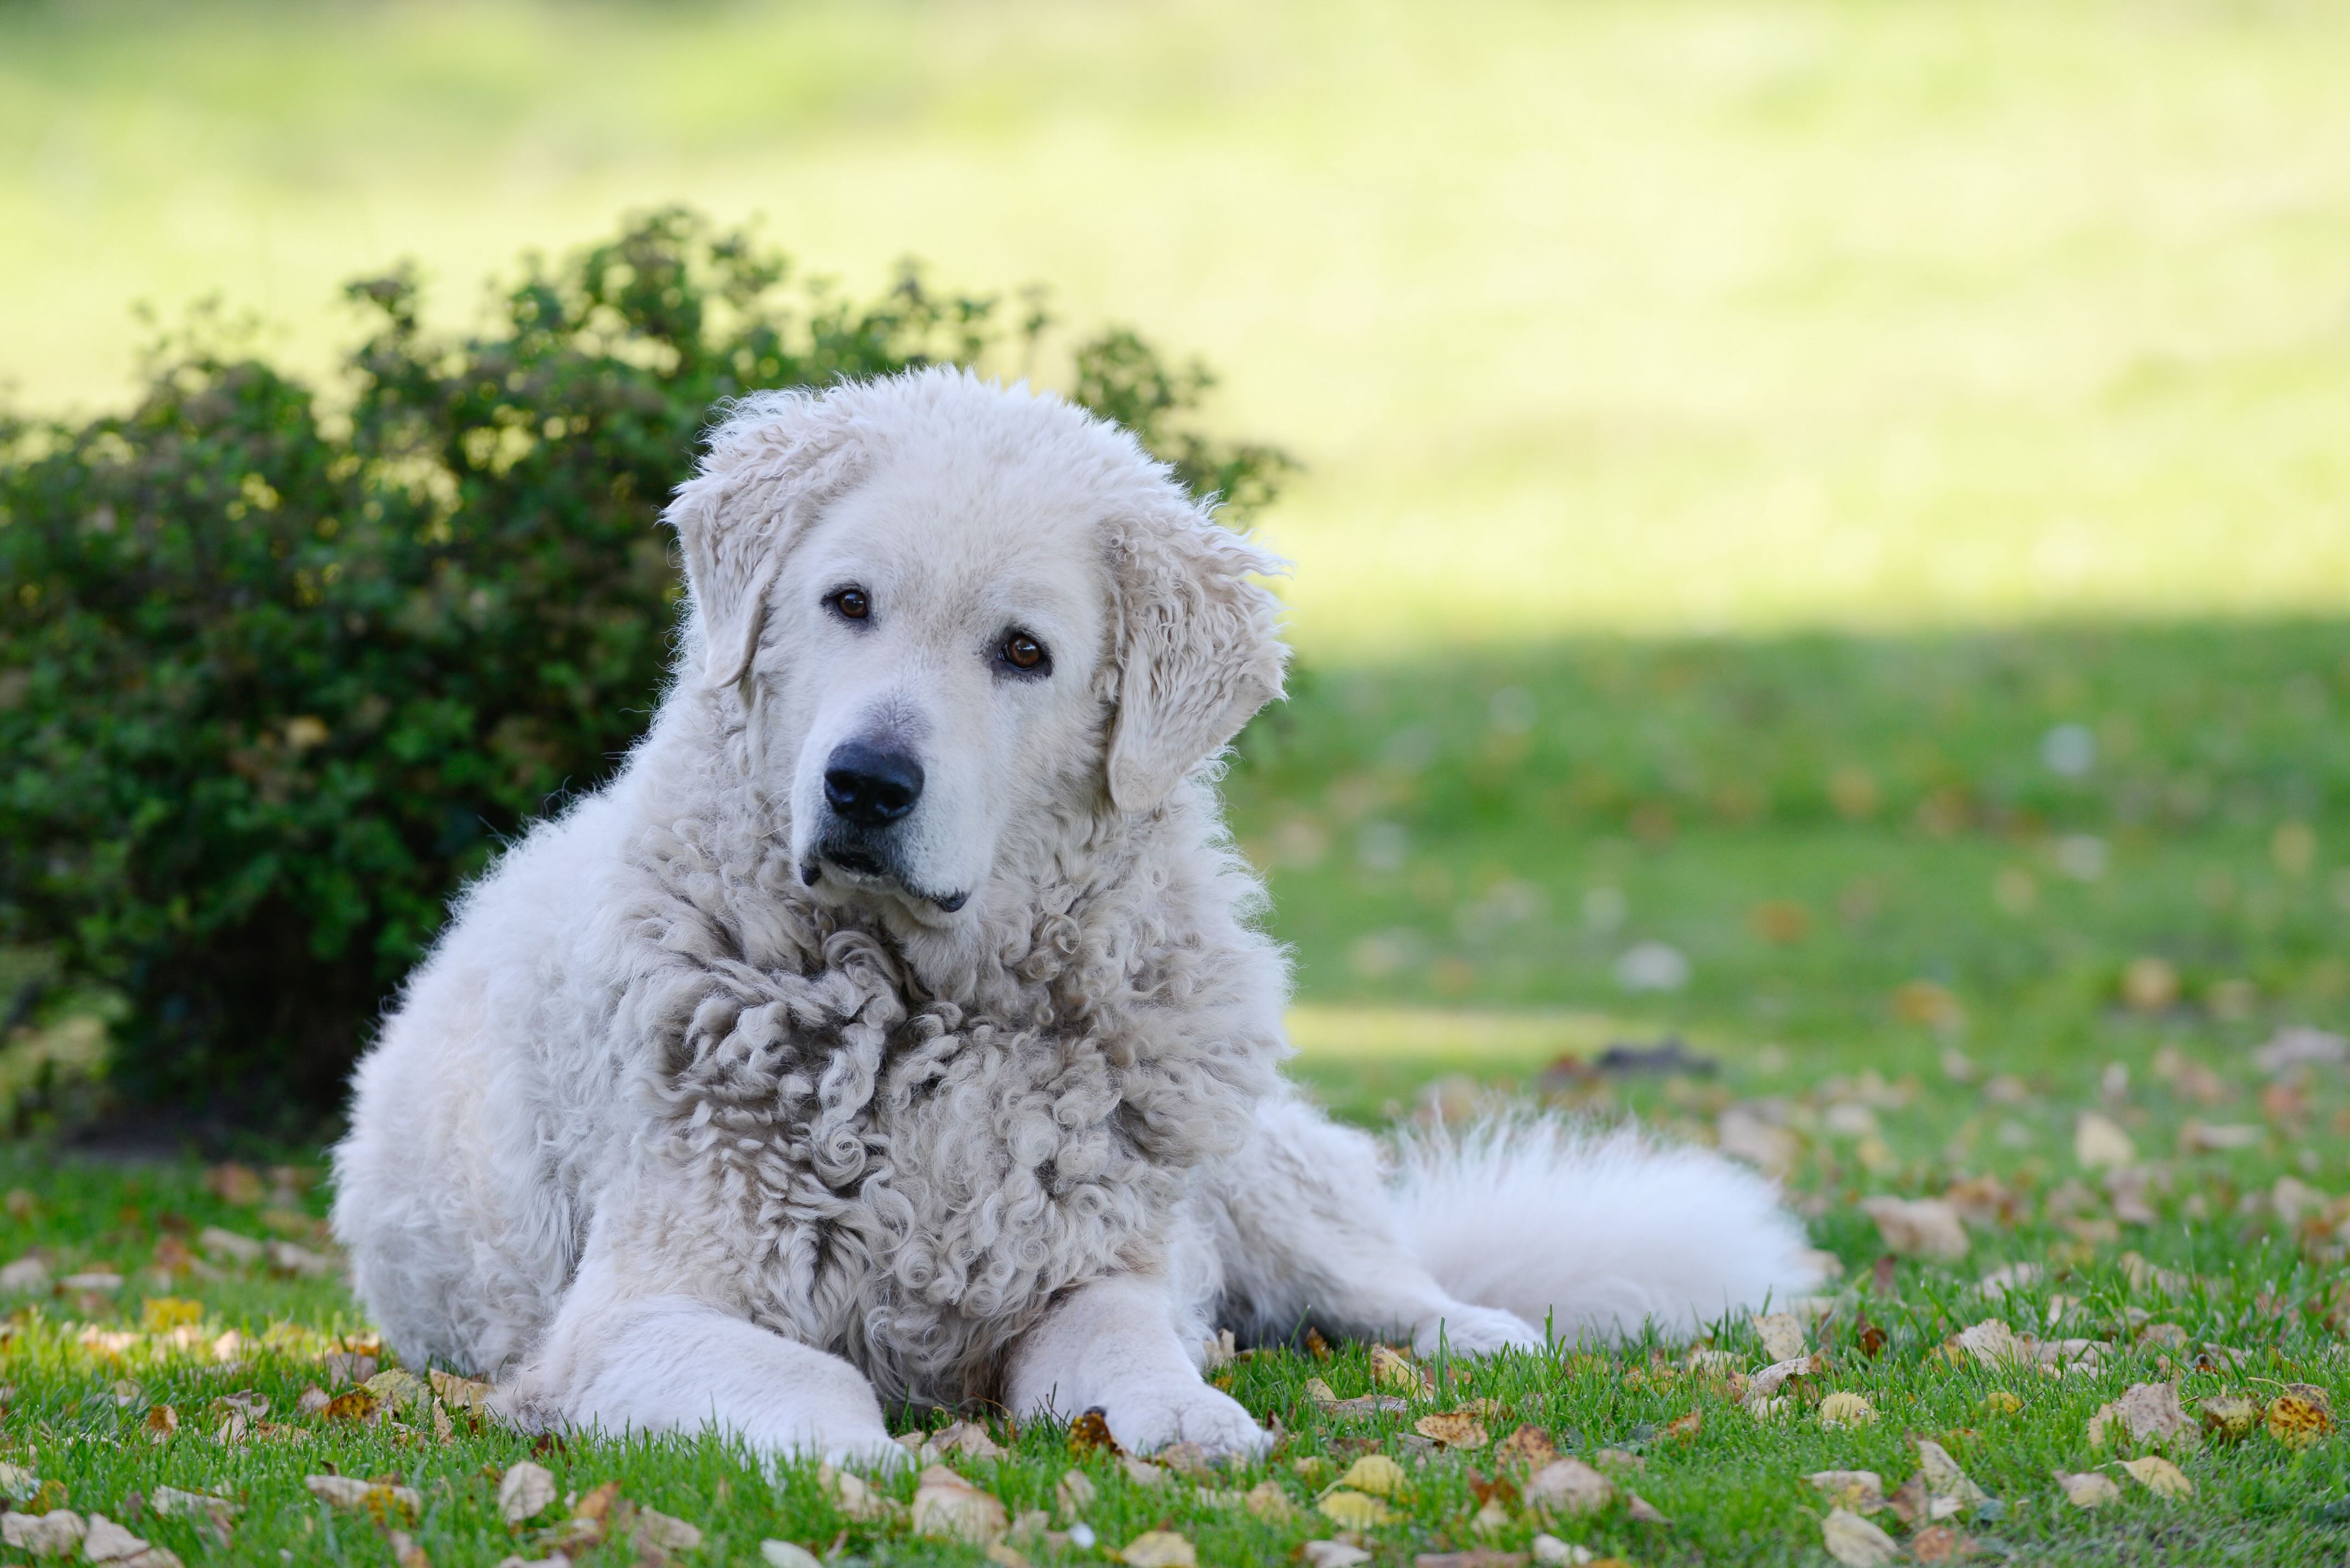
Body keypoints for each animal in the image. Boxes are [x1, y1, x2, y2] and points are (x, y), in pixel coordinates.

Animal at [327, 362, 1814, 1467]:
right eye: (847, 601)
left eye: (1022, 653)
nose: (865, 783)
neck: (924, 1012)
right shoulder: (633, 1315)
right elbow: (819, 1391)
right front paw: (865, 1454)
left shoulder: (1093, 1269)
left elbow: (1128, 1347)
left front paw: (1187, 1414)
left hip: (1246, 1170)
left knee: (1384, 1281)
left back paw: (1478, 1333)